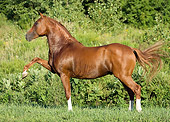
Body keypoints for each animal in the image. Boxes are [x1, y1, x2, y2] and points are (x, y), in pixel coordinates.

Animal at [22, 13, 162, 111]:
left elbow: (68, 93)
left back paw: (138, 110)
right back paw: (130, 110)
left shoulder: (64, 75)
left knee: (136, 88)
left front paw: (70, 110)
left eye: (36, 23)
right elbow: (36, 59)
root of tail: (131, 49)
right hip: (123, 77)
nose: (26, 36)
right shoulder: (53, 69)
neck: (62, 46)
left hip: (124, 76)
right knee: (130, 92)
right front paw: (24, 73)